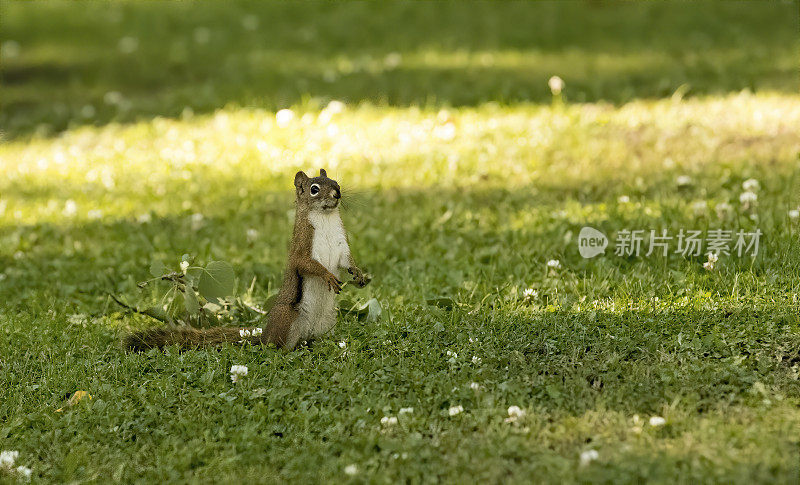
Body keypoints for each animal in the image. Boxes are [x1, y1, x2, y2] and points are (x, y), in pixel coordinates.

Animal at [124, 168, 372, 350]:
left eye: (335, 181)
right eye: (314, 189)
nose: (337, 194)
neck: (326, 218)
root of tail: (265, 335)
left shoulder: (341, 244)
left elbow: (346, 262)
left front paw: (359, 274)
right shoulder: (302, 246)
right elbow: (306, 264)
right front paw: (327, 276)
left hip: (328, 321)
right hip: (288, 317)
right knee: (277, 347)